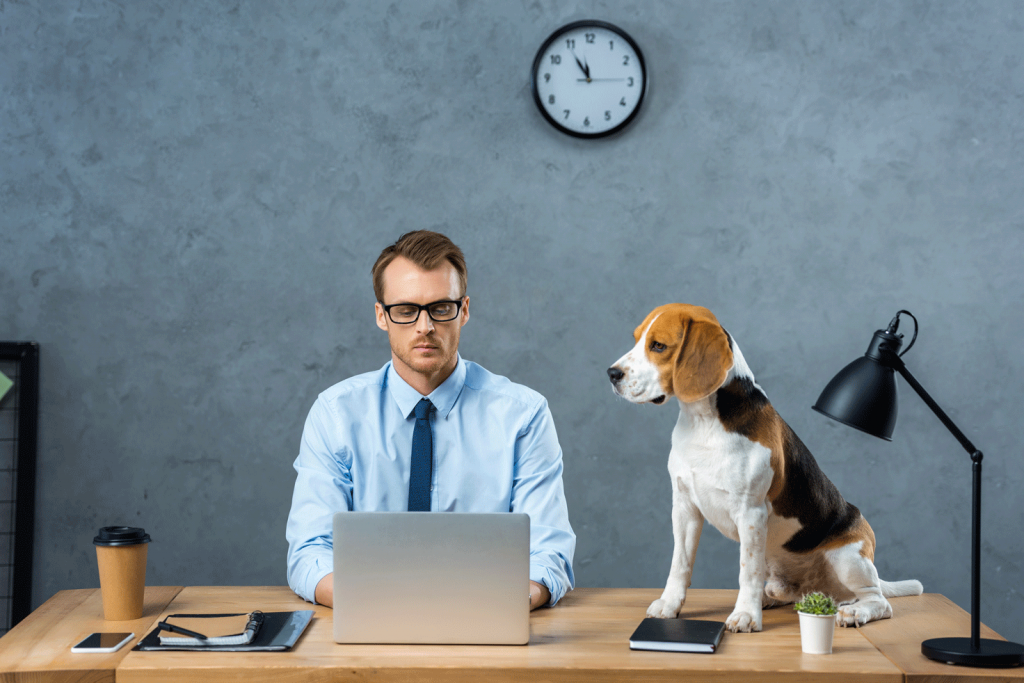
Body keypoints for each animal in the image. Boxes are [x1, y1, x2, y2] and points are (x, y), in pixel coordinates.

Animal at [606, 305, 921, 630]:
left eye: (658, 346)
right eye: (636, 339)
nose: (612, 374)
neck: (703, 421)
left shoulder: (750, 512)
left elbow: (747, 570)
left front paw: (746, 614)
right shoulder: (684, 508)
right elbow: (679, 564)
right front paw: (669, 604)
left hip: (848, 558)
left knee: (879, 601)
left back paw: (855, 611)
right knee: (785, 591)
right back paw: (770, 599)